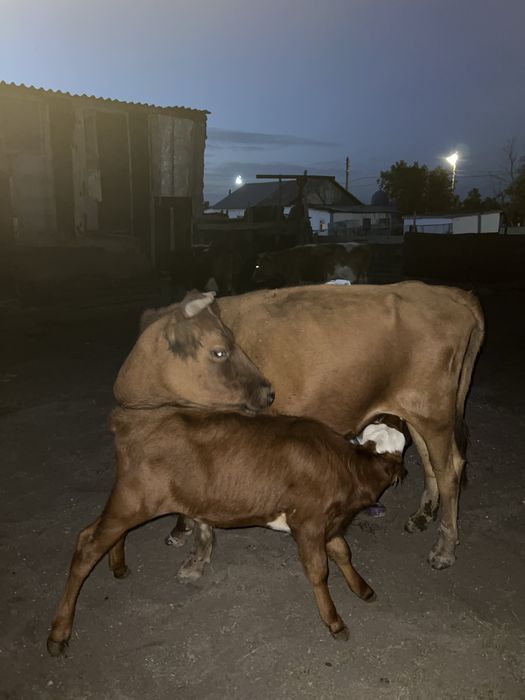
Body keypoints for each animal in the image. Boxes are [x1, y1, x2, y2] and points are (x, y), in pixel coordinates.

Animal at [46, 410, 407, 656]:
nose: (397, 413)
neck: (347, 464)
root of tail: (134, 422)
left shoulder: (327, 524)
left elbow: (343, 551)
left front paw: (363, 588)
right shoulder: (308, 522)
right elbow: (319, 571)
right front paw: (334, 621)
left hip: (131, 502)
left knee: (100, 533)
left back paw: (118, 566)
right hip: (134, 499)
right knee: (87, 545)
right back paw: (59, 634)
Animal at [114, 282, 484, 575]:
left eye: (221, 351)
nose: (269, 392)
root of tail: (446, 292)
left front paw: (194, 553)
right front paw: (183, 530)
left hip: (435, 409)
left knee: (450, 470)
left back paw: (444, 549)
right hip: (420, 410)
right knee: (430, 460)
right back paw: (423, 516)